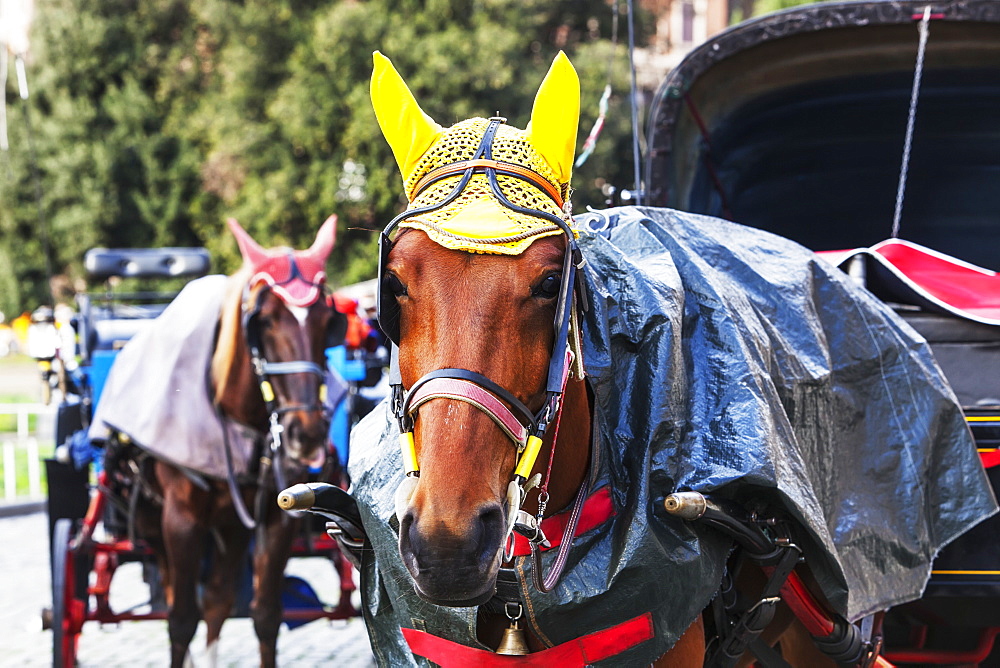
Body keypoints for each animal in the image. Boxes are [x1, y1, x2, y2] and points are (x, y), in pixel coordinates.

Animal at [99, 217, 346, 664]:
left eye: (327, 321)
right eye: (265, 320)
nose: (306, 434)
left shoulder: (275, 518)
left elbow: (264, 615)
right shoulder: (180, 521)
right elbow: (181, 619)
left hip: (230, 527)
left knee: (217, 599)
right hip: (151, 522)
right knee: (174, 593)